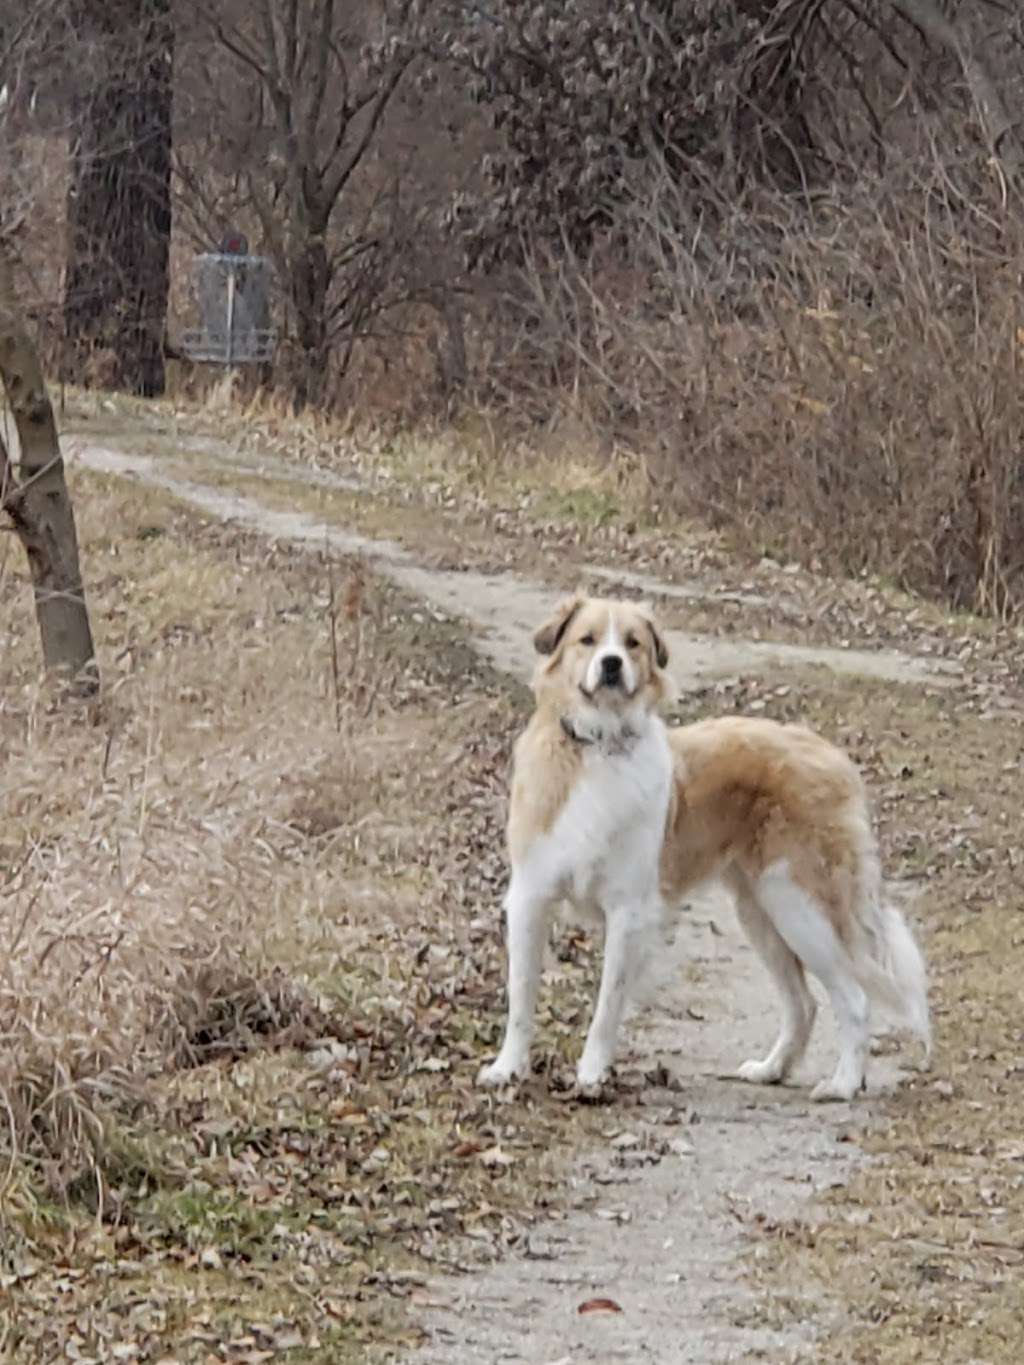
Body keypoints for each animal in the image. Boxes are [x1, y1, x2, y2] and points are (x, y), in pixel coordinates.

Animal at [480, 595, 928, 1097]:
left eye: (632, 643)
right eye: (588, 640)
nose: (611, 664)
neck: (599, 745)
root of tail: (834, 757)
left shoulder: (628, 913)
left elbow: (606, 1007)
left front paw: (592, 1076)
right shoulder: (530, 898)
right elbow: (520, 997)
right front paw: (507, 1069)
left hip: (801, 910)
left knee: (853, 999)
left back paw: (844, 1085)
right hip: (762, 914)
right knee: (803, 1004)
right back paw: (771, 1070)